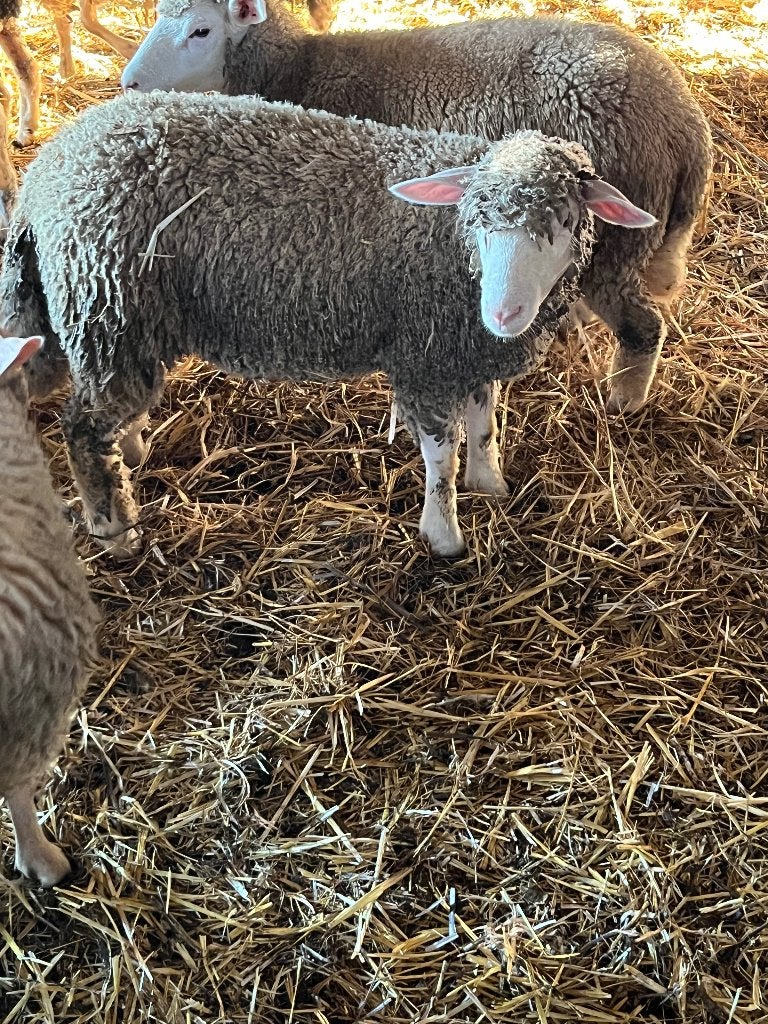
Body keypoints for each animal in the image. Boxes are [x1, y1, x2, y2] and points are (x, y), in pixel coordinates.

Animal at [0, 91, 656, 558]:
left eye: (565, 220)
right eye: (478, 222)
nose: (503, 313)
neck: (453, 252)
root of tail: (47, 173)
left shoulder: (464, 350)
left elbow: (485, 418)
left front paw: (489, 483)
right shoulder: (424, 354)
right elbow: (439, 453)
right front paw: (443, 535)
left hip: (113, 326)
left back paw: (130, 453)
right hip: (107, 308)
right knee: (83, 428)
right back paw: (116, 530)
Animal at [122, 0, 712, 419]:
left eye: (200, 31)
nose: (128, 82)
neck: (294, 69)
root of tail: (684, 125)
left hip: (613, 236)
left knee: (643, 327)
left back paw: (623, 401)